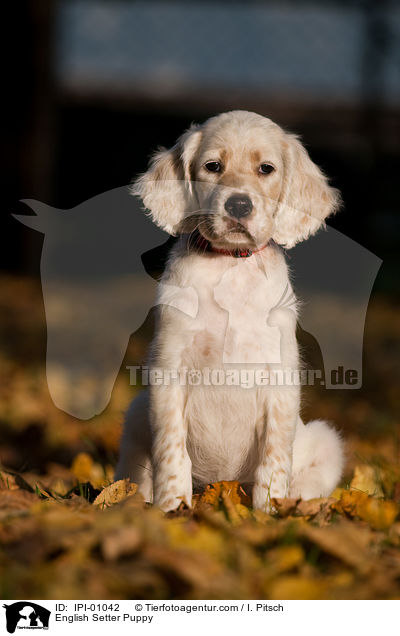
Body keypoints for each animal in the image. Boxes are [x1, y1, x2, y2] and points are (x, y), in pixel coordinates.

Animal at [115, 109, 344, 512]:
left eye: (266, 169)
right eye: (213, 166)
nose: (238, 205)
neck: (231, 266)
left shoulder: (279, 377)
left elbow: (275, 457)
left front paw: (269, 511)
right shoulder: (169, 370)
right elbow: (171, 450)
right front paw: (173, 508)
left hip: (324, 439)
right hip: (136, 413)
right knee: (133, 471)